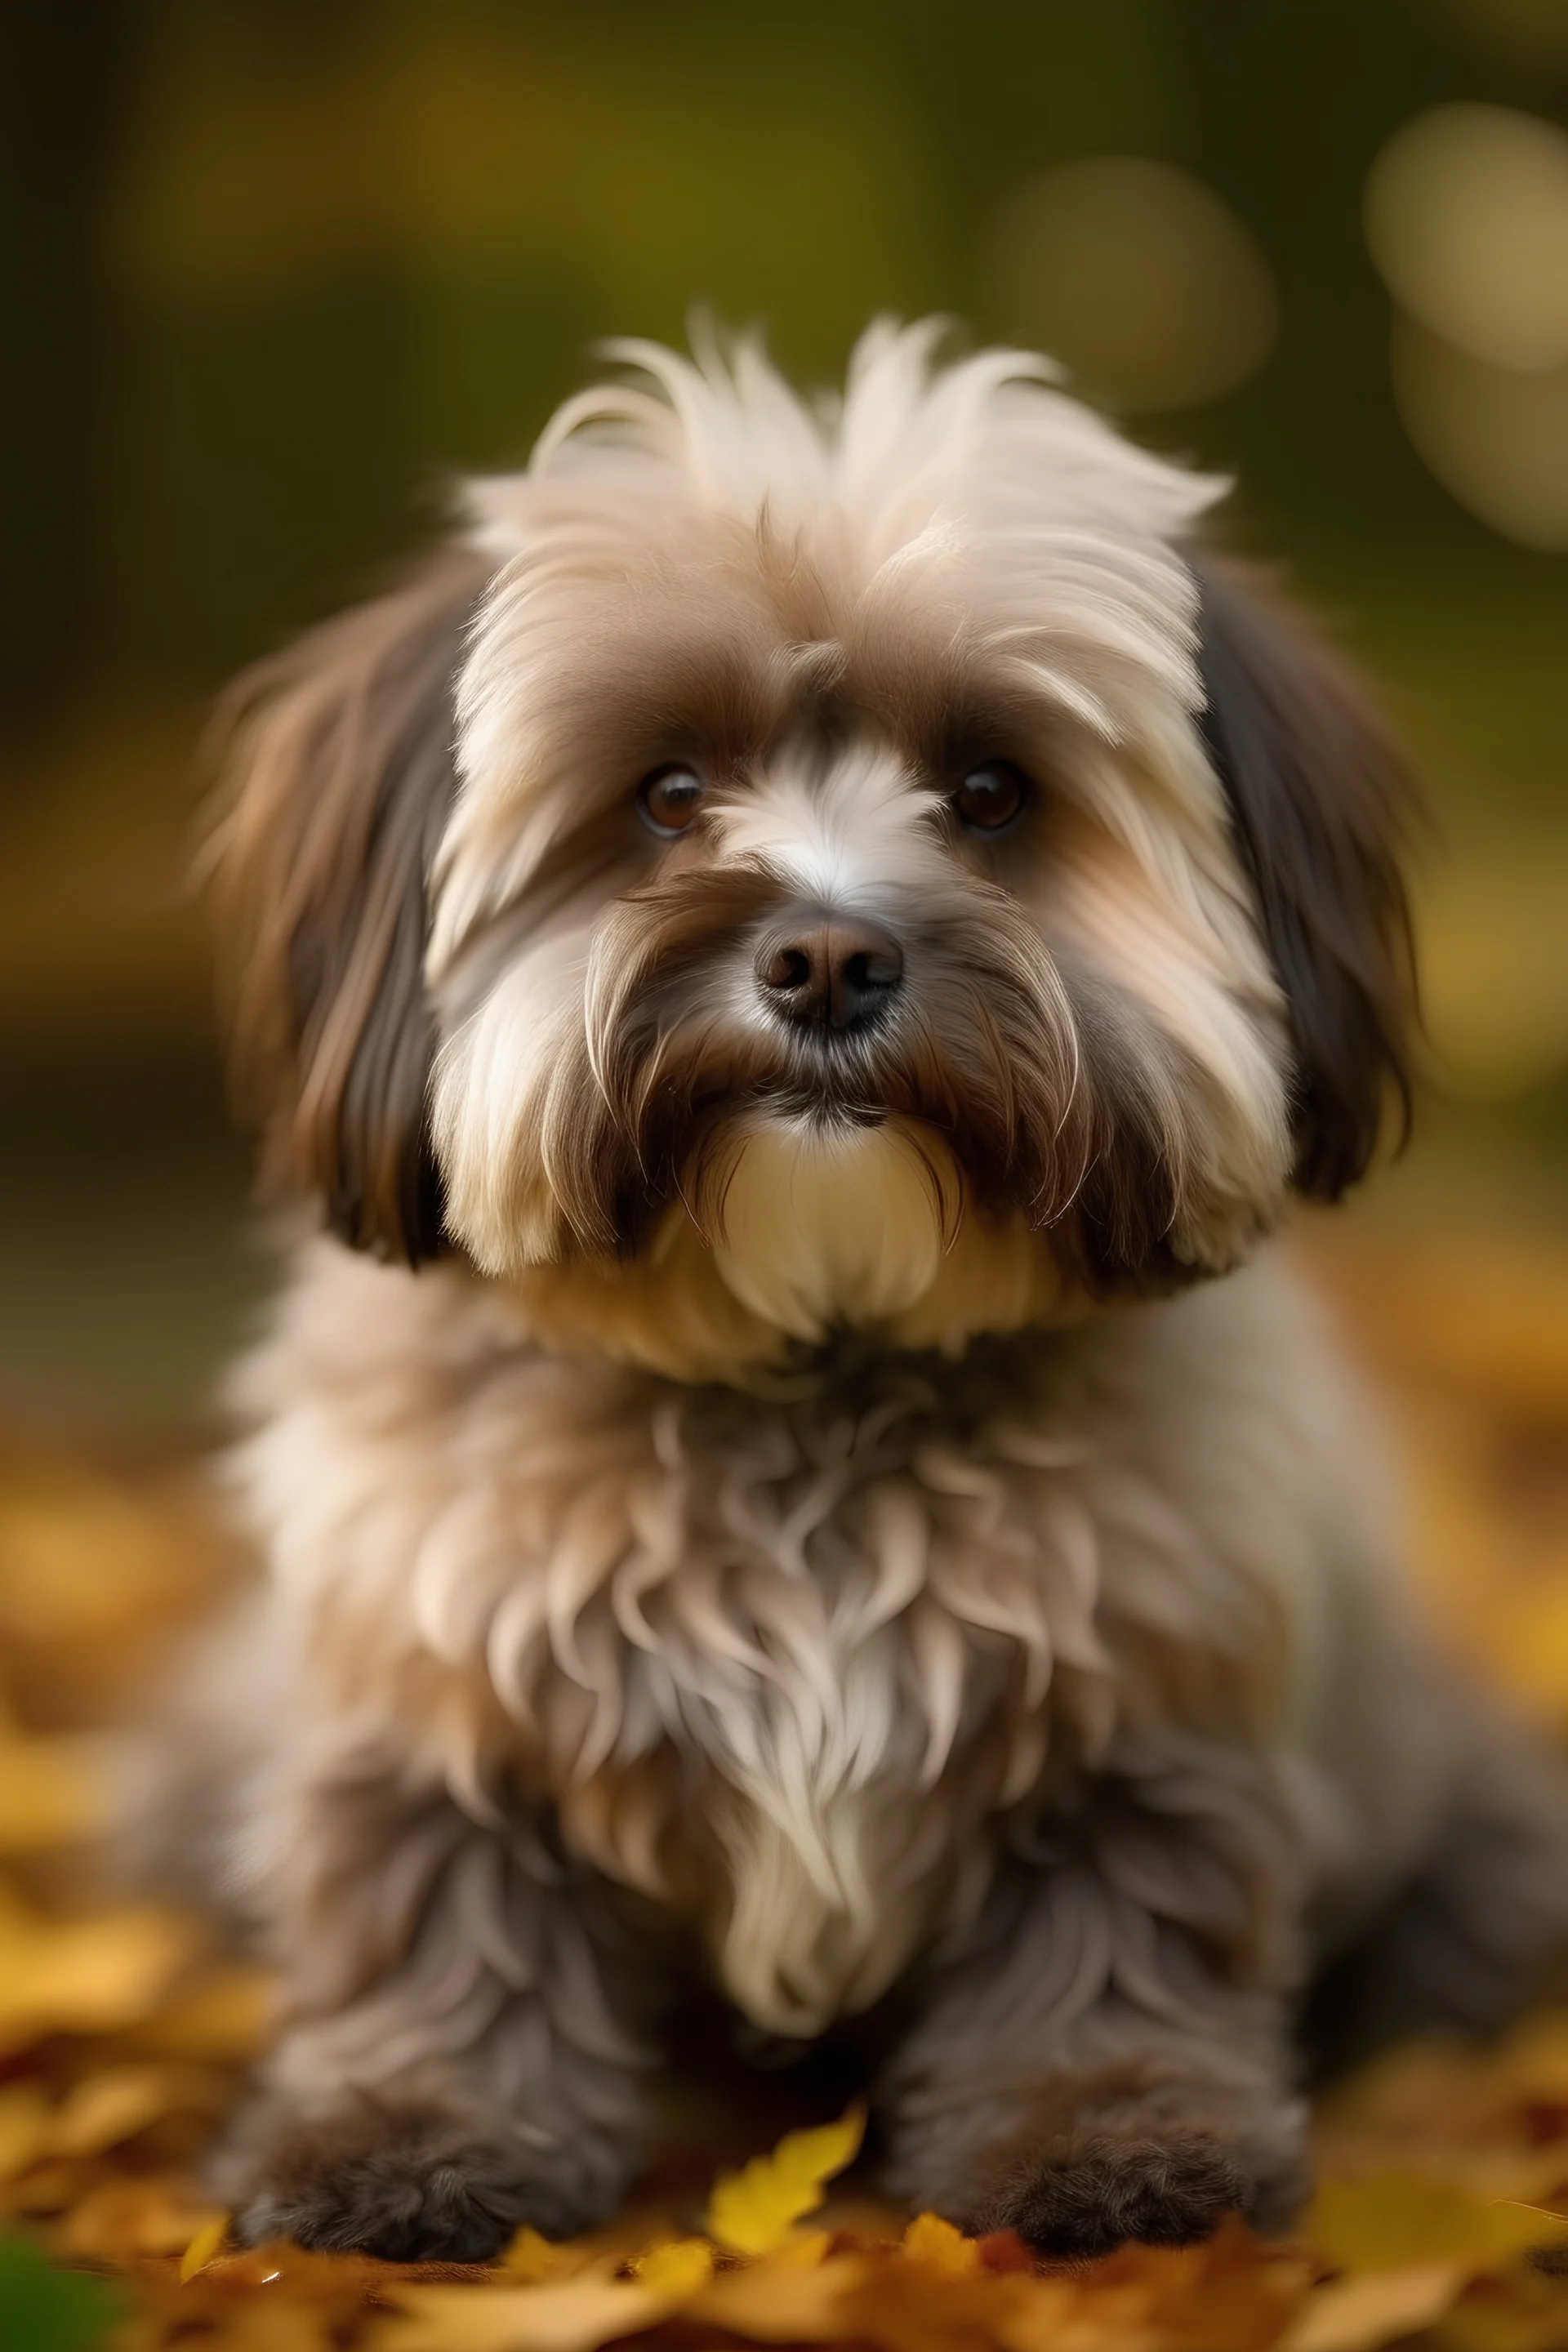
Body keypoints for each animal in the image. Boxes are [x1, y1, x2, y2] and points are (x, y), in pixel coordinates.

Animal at [165, 327, 1561, 2257]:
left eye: (990, 793)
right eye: (669, 792)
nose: (827, 957)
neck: (815, 1372)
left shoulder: (1139, 1712)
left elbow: (1110, 1945)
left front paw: (1105, 2137)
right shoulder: (440, 1689)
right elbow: (444, 1930)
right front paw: (407, 2140)